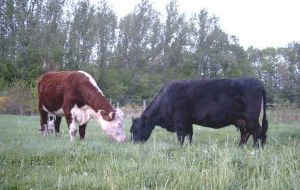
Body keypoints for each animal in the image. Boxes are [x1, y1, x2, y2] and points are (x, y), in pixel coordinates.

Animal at [130, 77, 268, 147]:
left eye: (137, 130)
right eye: (131, 131)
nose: (133, 144)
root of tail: (258, 82)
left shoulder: (179, 120)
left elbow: (181, 135)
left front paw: (180, 147)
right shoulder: (188, 121)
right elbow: (189, 135)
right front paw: (189, 146)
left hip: (251, 117)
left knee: (258, 132)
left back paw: (256, 148)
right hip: (242, 119)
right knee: (246, 133)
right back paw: (241, 147)